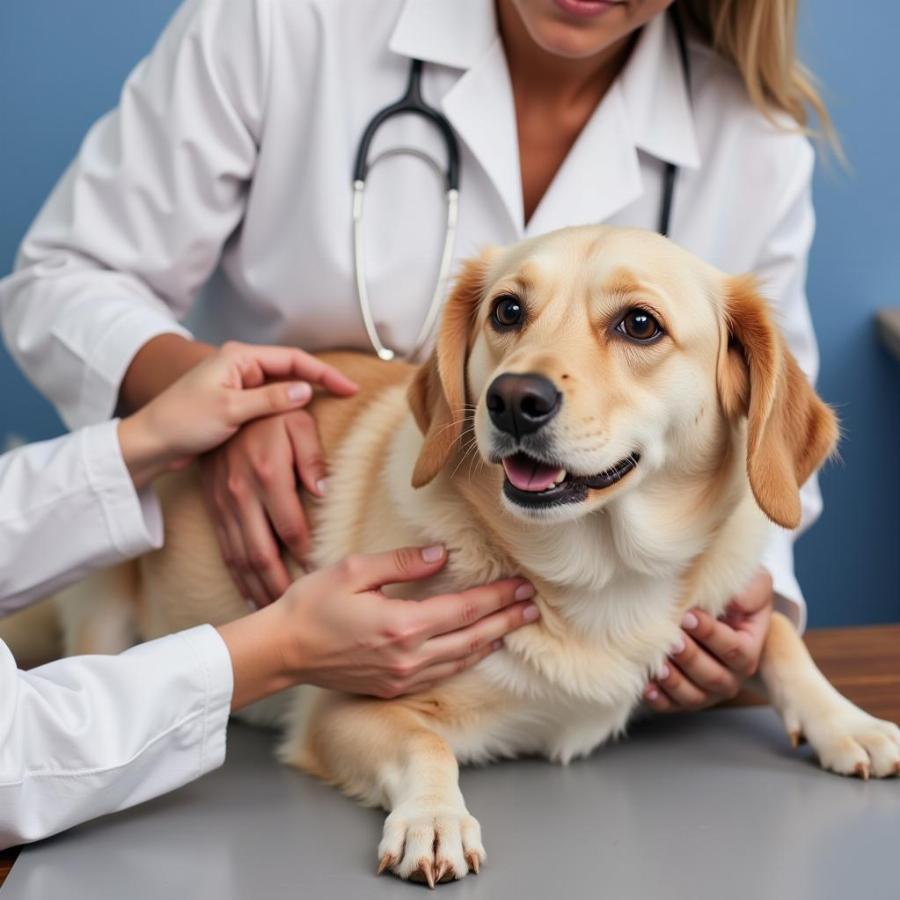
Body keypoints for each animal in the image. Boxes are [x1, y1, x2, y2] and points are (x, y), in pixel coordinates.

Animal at [24, 225, 900, 884]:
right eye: (508, 310)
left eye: (640, 325)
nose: (514, 398)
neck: (597, 578)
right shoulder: (344, 708)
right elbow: (426, 743)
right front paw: (435, 819)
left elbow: (777, 631)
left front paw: (848, 720)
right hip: (103, 601)